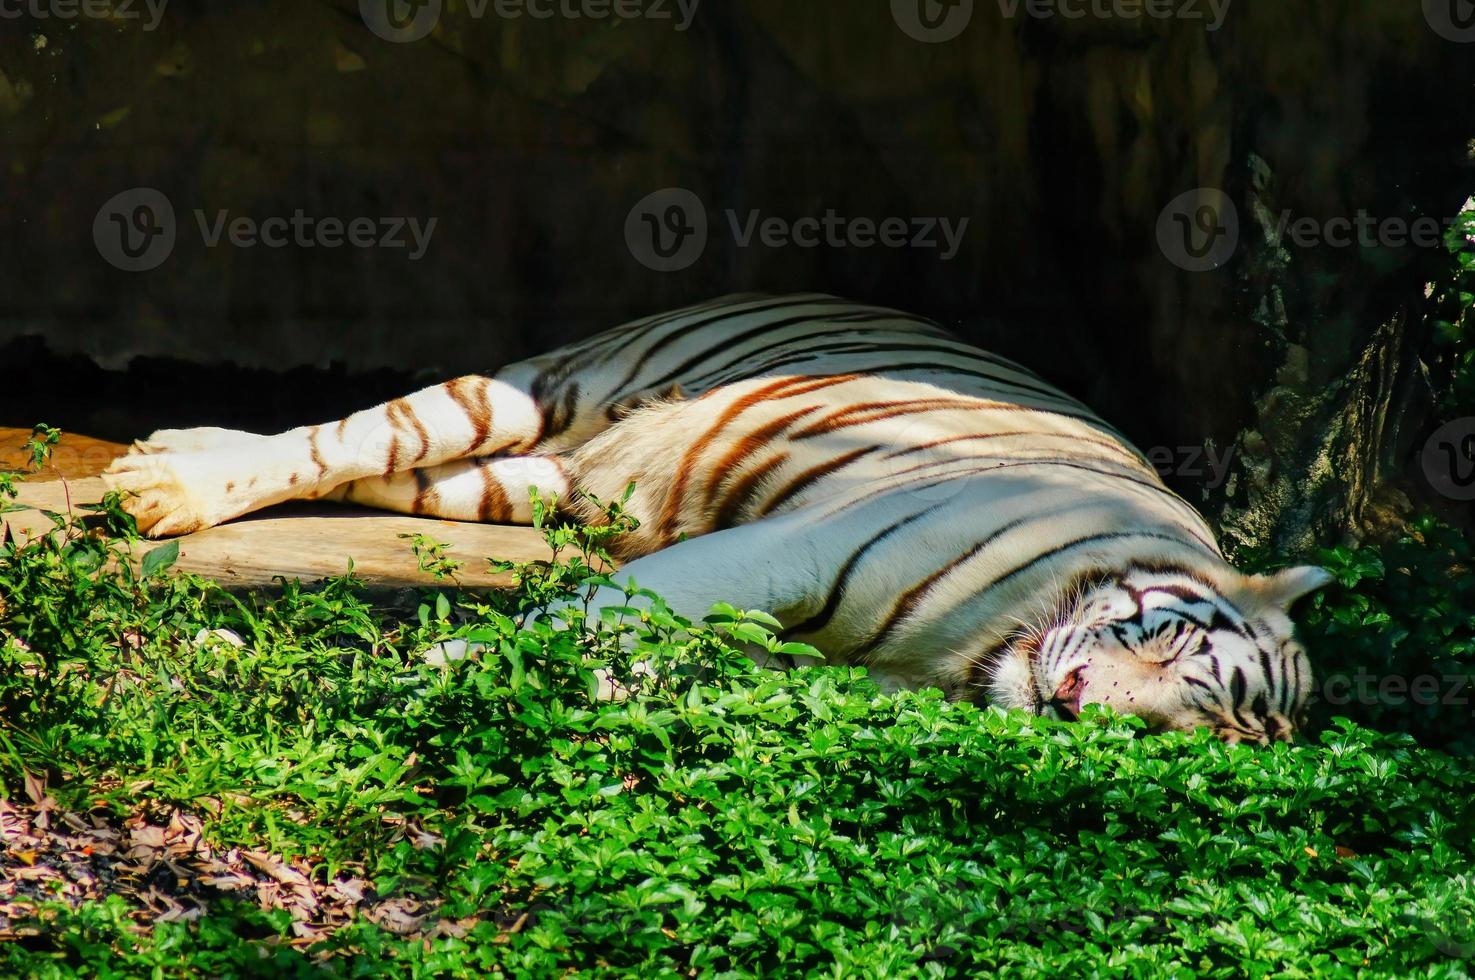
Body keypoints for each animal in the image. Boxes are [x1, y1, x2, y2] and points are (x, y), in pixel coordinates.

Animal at [101, 290, 1327, 743]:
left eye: (1189, 728)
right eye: (1171, 650)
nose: (1072, 705)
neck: (964, 659)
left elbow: (627, 661)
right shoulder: (780, 549)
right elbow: (575, 623)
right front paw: (424, 675)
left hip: (528, 481)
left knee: (384, 473)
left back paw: (171, 450)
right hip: (542, 388)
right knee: (352, 433)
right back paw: (161, 485)